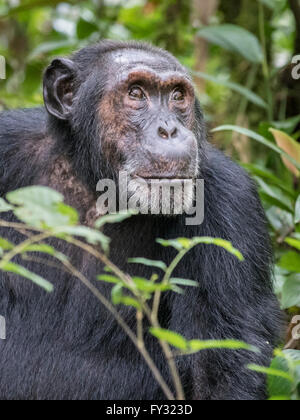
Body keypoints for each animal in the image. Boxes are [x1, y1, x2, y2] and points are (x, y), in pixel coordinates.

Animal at [0, 41, 282, 400]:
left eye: (177, 96)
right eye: (136, 92)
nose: (169, 130)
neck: (94, 182)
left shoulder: (232, 207)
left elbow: (220, 369)